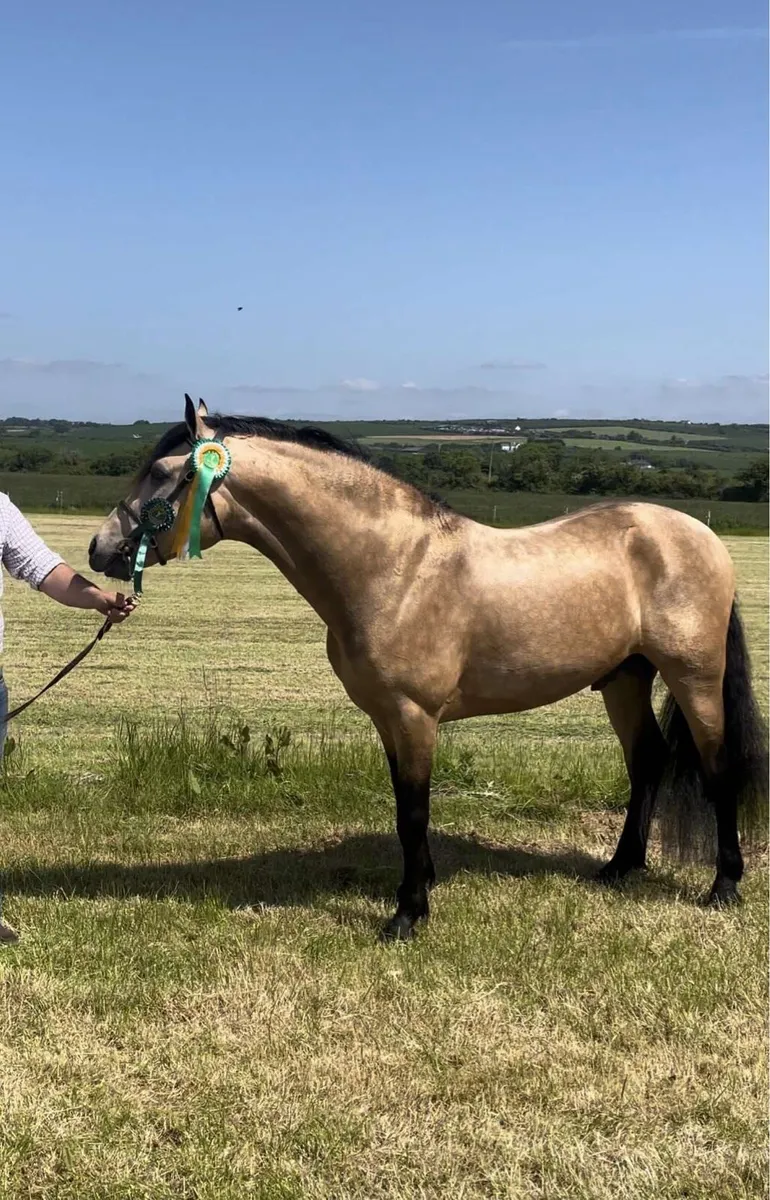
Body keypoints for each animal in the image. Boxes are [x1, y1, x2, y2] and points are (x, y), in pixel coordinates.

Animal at [89, 397, 767, 940]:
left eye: (164, 473)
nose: (101, 549)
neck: (394, 567)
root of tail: (700, 536)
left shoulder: (414, 715)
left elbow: (414, 810)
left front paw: (408, 914)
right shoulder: (387, 719)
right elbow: (402, 807)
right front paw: (420, 885)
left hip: (694, 678)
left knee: (716, 767)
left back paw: (724, 887)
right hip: (624, 678)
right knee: (647, 761)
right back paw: (620, 869)